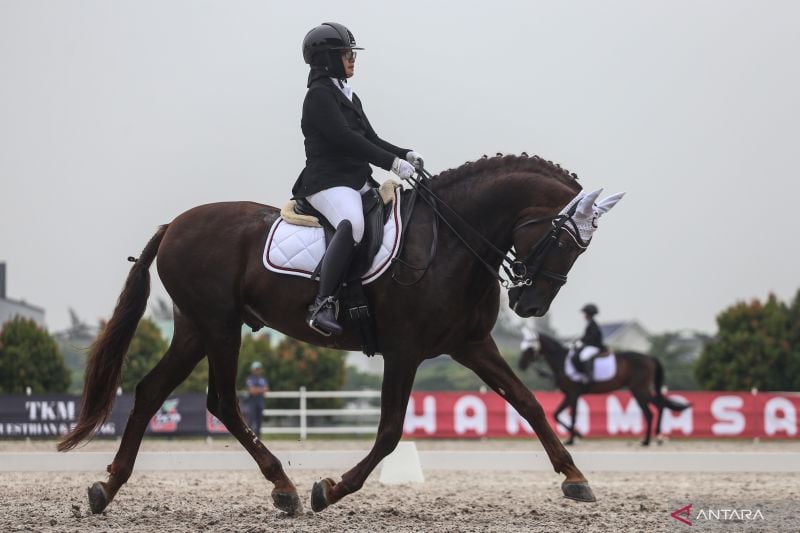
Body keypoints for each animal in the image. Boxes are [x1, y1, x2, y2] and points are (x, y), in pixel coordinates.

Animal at [58, 154, 624, 516]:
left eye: (580, 248)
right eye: (565, 241)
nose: (531, 305)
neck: (451, 241)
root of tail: (174, 224)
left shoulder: (471, 345)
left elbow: (528, 403)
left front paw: (575, 478)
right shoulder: (404, 350)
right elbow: (391, 431)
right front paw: (330, 490)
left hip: (197, 328)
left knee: (151, 391)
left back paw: (108, 487)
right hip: (219, 326)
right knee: (221, 401)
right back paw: (284, 488)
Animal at [518, 329, 690, 446]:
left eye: (529, 348)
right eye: (522, 346)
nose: (521, 365)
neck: (562, 359)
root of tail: (650, 358)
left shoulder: (573, 393)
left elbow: (570, 415)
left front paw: (573, 438)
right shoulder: (569, 395)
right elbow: (558, 414)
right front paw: (577, 435)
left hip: (639, 390)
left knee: (652, 410)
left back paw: (649, 440)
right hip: (640, 390)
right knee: (657, 407)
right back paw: (656, 438)